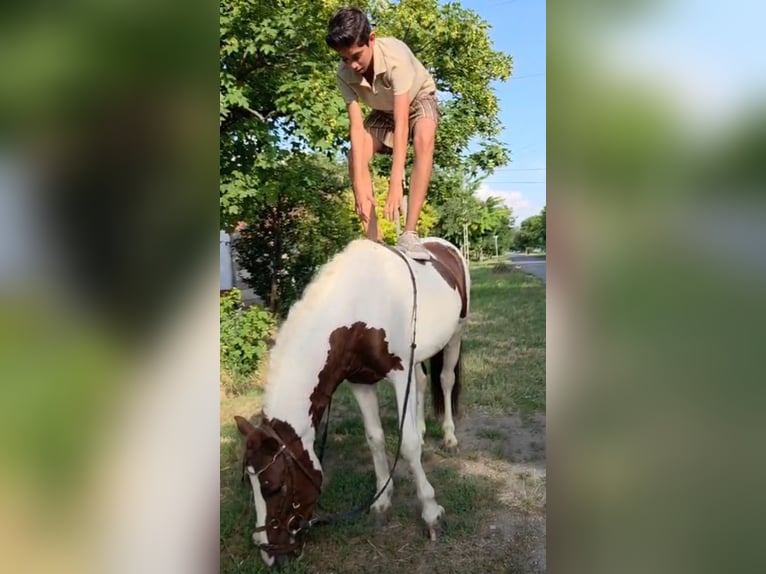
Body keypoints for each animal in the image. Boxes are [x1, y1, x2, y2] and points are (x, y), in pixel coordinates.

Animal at [234, 237, 470, 567]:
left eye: (275, 486)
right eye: (250, 483)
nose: (269, 555)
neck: (356, 309)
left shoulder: (399, 375)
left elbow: (408, 445)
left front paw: (431, 513)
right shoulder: (361, 382)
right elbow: (375, 438)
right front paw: (382, 501)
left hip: (456, 334)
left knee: (446, 380)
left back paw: (449, 437)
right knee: (423, 383)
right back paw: (424, 428)